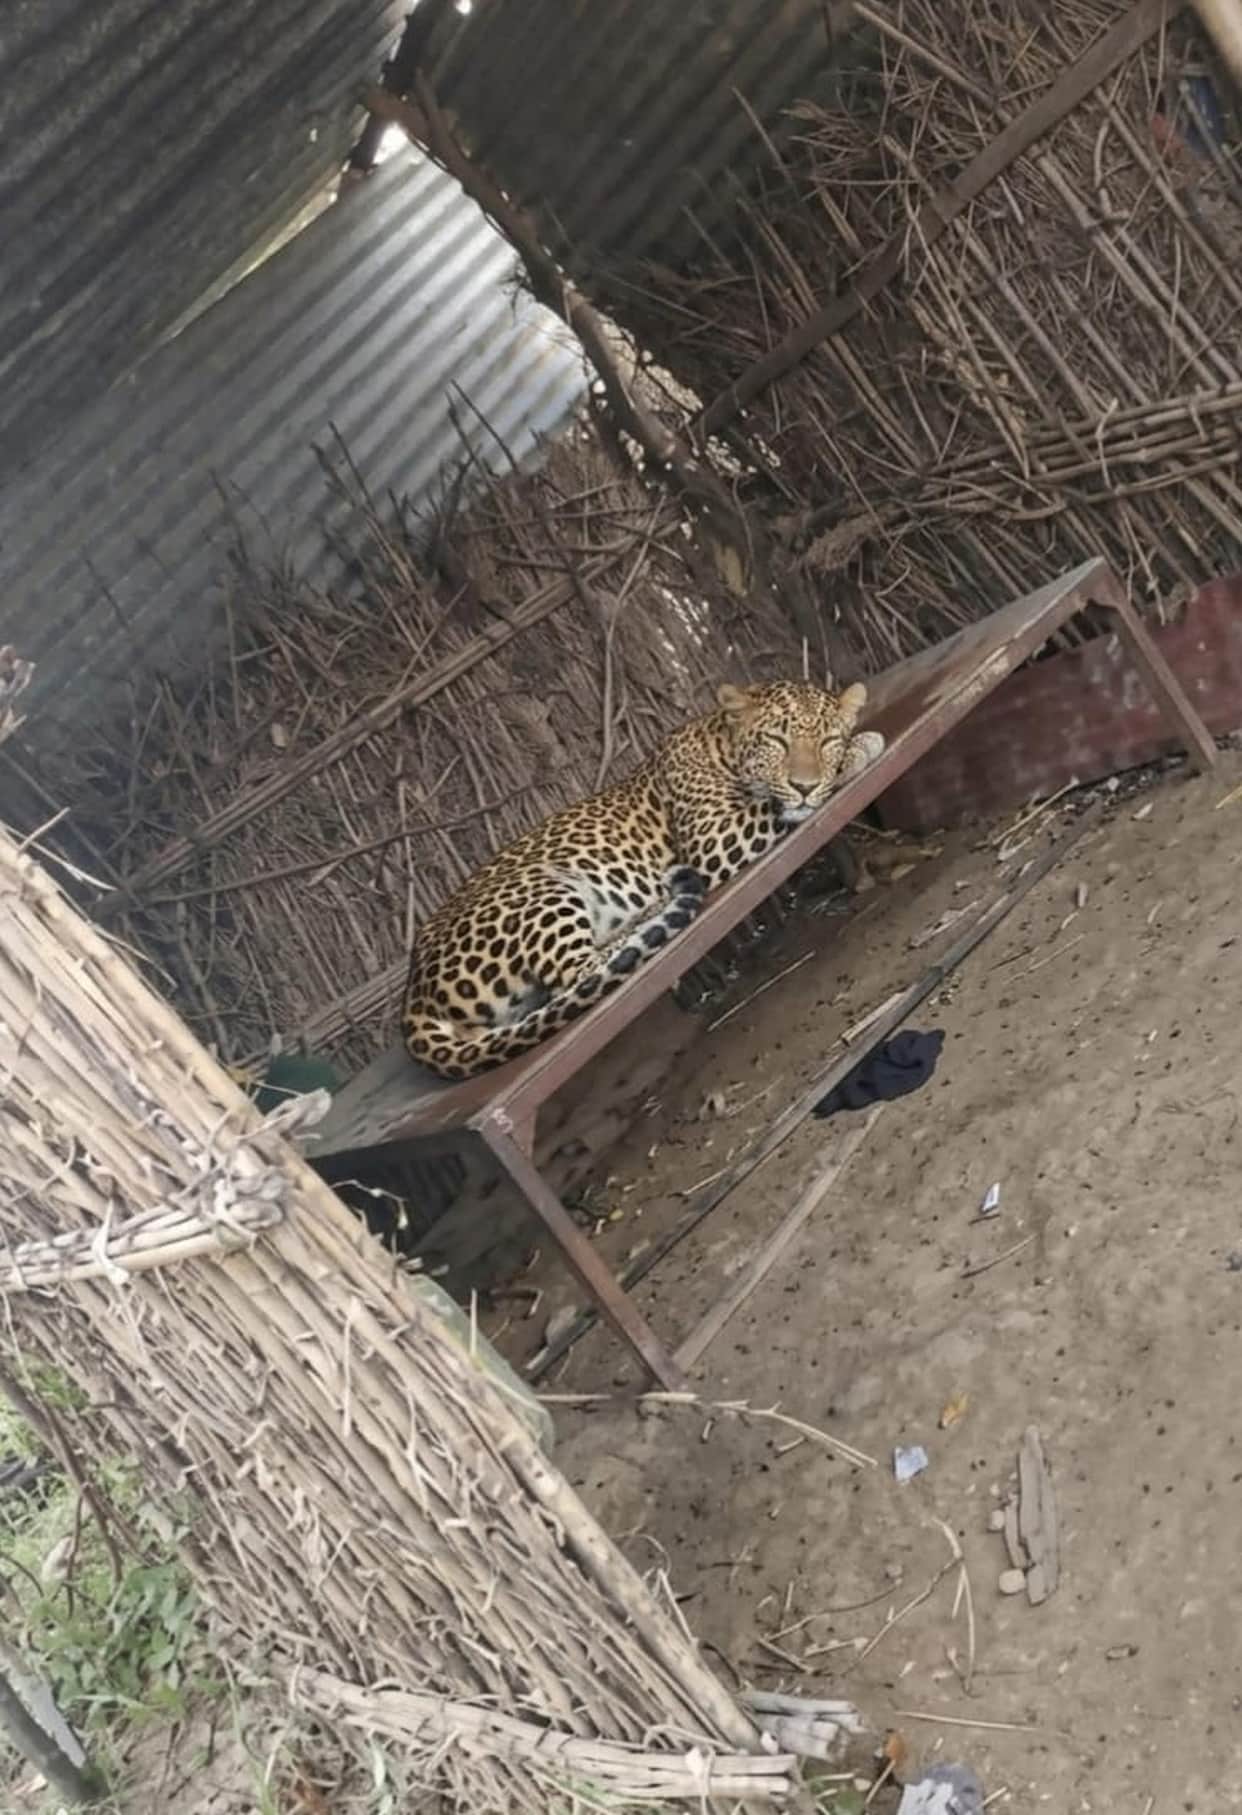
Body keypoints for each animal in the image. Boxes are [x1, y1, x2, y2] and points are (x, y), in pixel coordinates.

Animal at [402, 679, 886, 1080]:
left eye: (827, 740)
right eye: (776, 740)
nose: (804, 785)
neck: (720, 744)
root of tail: (412, 999)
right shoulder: (713, 840)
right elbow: (774, 806)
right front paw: (861, 749)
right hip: (538, 886)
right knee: (582, 972)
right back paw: (653, 914)